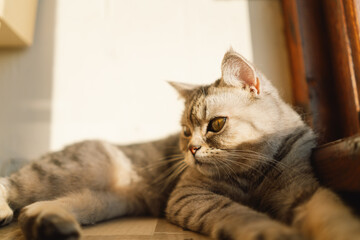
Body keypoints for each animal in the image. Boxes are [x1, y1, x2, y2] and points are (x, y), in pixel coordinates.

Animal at [0, 48, 360, 240]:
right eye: (185, 132)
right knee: (11, 186)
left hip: (102, 200)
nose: (191, 149)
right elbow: (239, 213)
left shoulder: (304, 189)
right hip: (63, 172)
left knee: (36, 207)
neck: (251, 170)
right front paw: (266, 229)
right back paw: (9, 212)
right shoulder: (191, 196)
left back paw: (49, 223)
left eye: (216, 125)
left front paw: (343, 229)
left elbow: (331, 213)